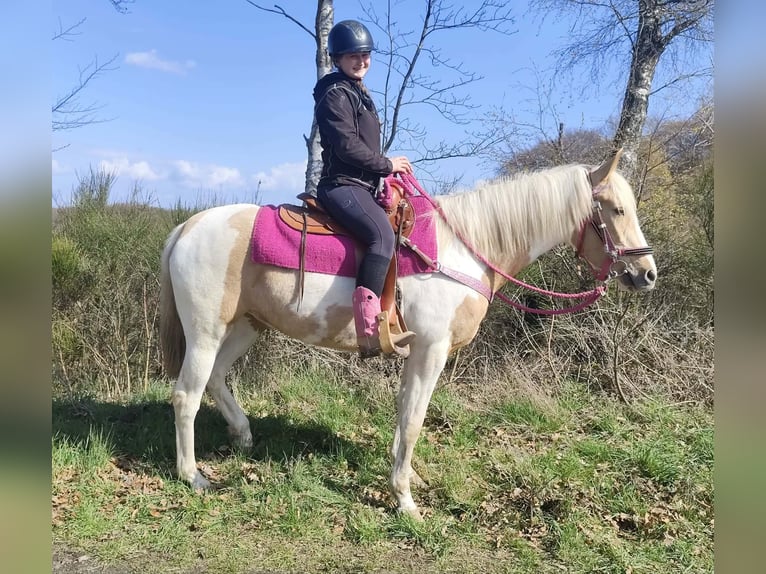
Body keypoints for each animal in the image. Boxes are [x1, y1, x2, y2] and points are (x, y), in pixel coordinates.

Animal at [159, 151, 656, 519]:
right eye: (616, 210)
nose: (647, 274)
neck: (459, 250)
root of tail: (187, 226)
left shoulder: (416, 353)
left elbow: (403, 415)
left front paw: (406, 478)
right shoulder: (430, 350)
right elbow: (415, 419)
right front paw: (406, 501)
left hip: (244, 327)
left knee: (216, 380)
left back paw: (242, 436)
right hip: (206, 331)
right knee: (186, 395)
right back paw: (193, 476)